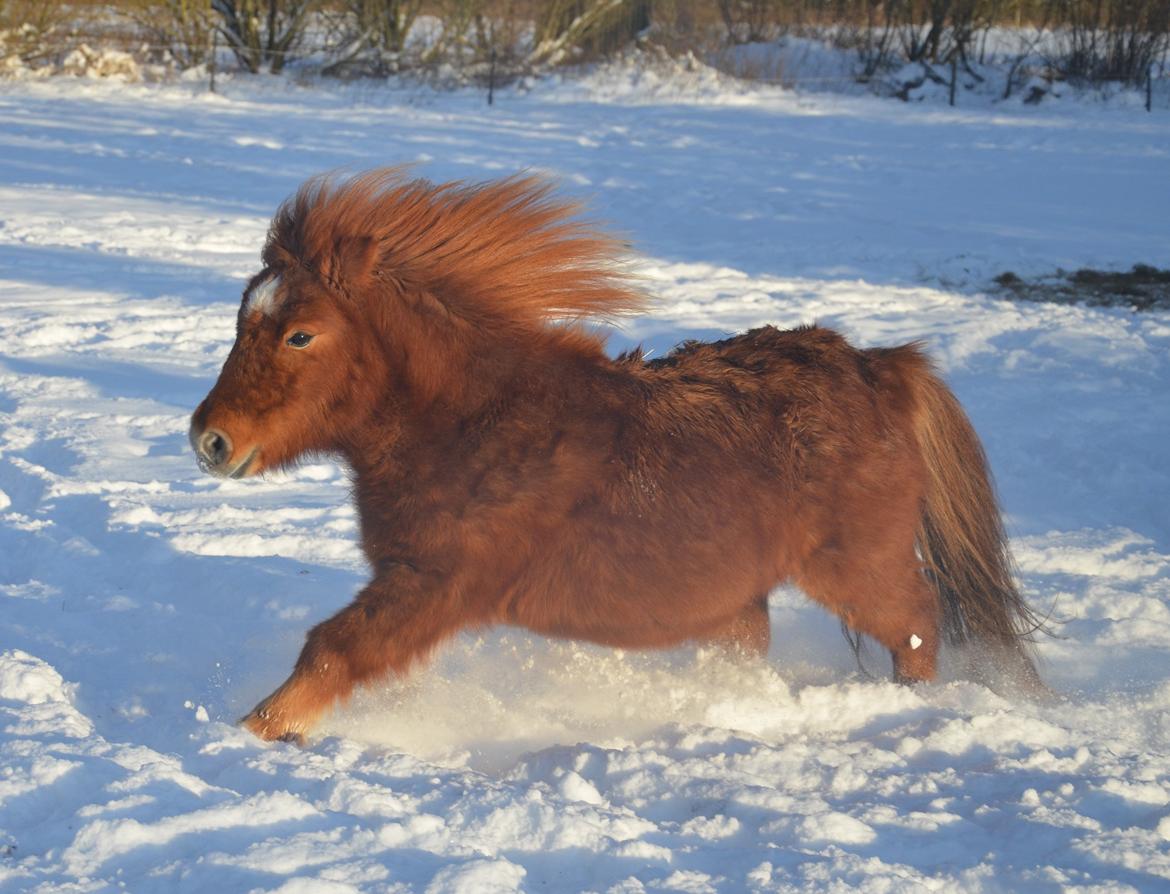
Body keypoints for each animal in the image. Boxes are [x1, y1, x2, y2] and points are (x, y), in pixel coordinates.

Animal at [191, 167, 1043, 739]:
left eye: (301, 335)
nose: (208, 440)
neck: (471, 422)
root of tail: (884, 368)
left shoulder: (436, 583)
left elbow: (330, 650)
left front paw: (254, 734)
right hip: (742, 596)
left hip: (856, 567)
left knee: (919, 626)